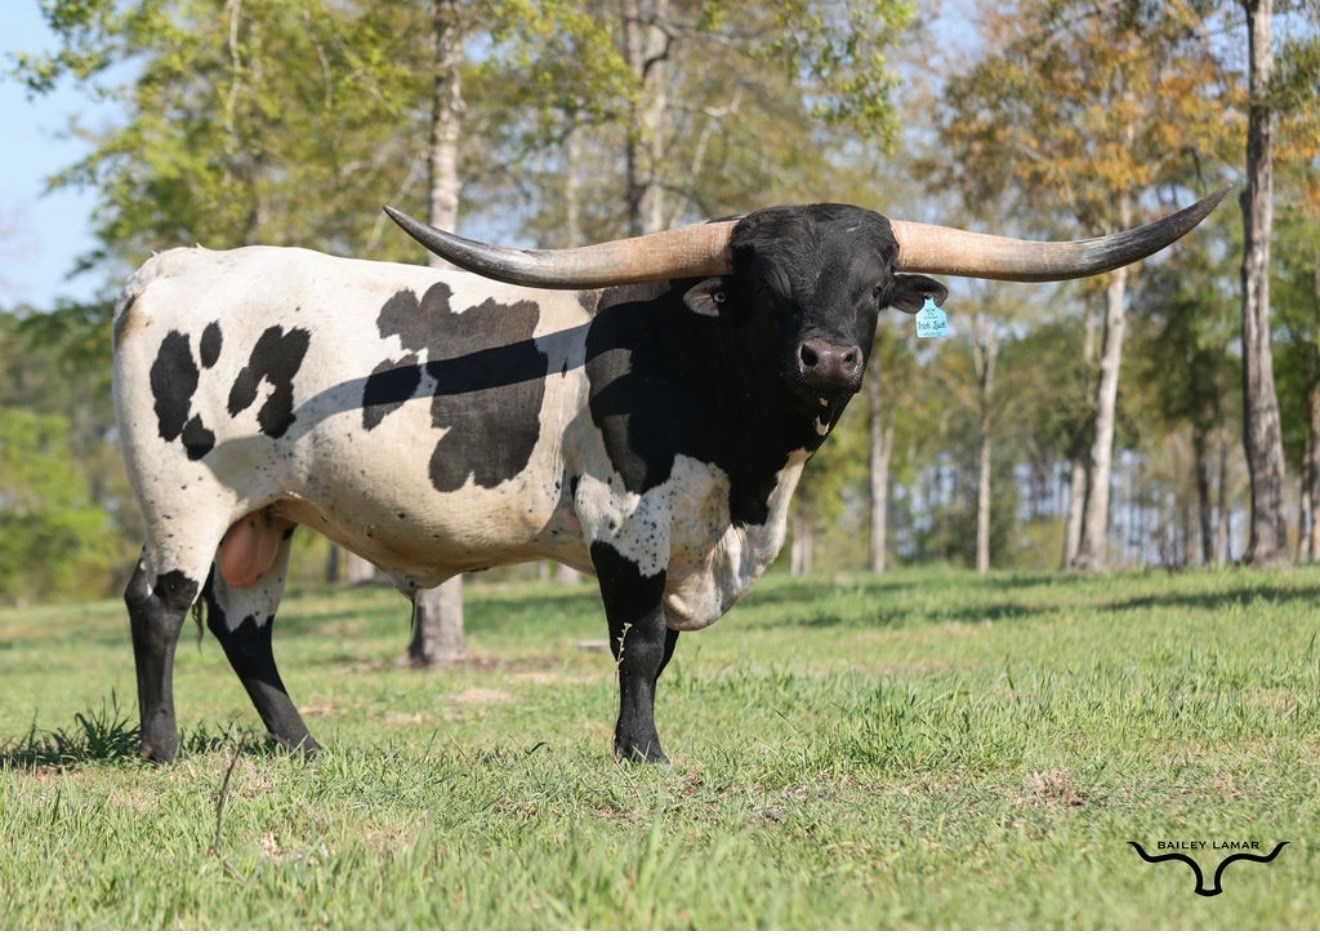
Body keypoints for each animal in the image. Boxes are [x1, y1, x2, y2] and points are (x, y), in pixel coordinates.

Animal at [113, 191, 1225, 763]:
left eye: (872, 291)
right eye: (765, 287)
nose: (829, 358)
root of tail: (175, 267)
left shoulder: (696, 535)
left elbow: (666, 652)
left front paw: (638, 739)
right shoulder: (629, 524)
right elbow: (641, 645)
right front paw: (640, 751)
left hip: (267, 512)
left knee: (244, 623)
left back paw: (302, 744)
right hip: (185, 500)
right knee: (159, 606)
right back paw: (164, 750)